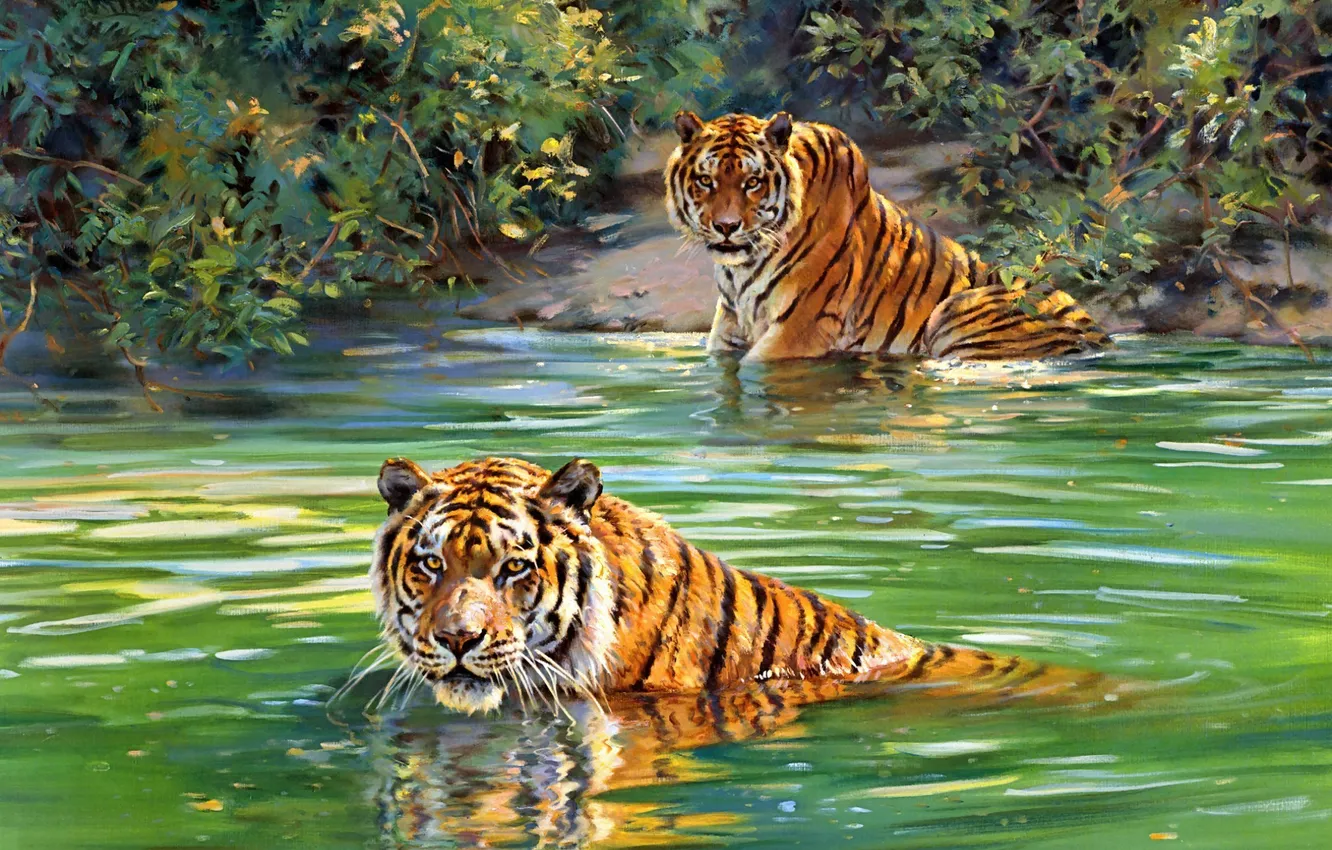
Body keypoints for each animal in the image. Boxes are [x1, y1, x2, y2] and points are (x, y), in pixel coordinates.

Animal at [665, 111, 1111, 361]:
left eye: (752, 183)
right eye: (705, 181)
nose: (726, 227)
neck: (741, 270)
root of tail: (1101, 336)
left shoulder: (802, 324)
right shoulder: (730, 328)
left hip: (957, 313)